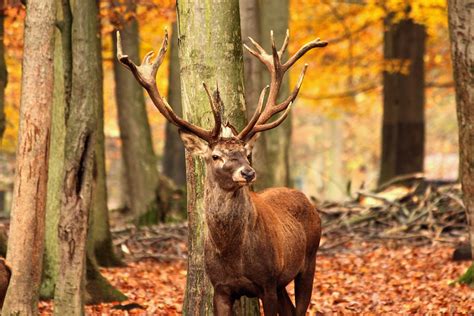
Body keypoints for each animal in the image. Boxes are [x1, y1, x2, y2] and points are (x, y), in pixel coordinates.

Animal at [116, 28, 328, 314]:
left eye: (246, 153)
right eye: (216, 156)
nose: (247, 173)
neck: (232, 255)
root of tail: (305, 197)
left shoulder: (268, 282)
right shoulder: (221, 287)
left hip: (309, 259)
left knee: (301, 305)